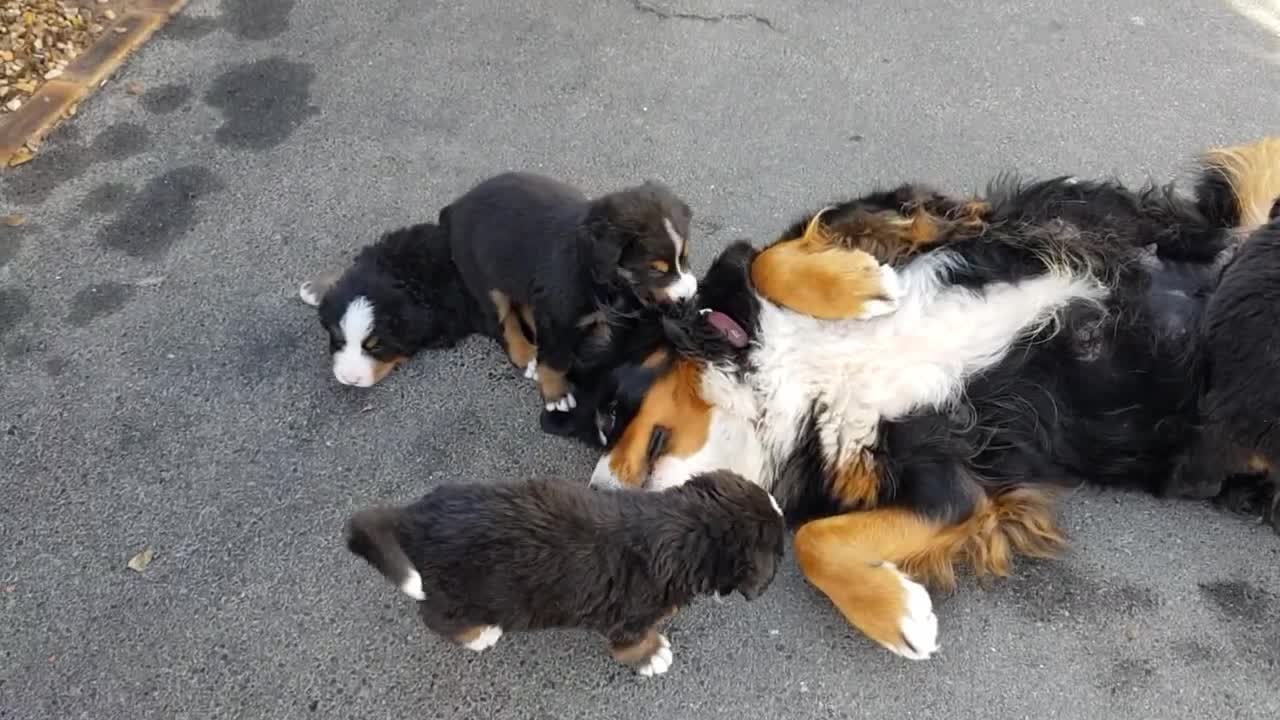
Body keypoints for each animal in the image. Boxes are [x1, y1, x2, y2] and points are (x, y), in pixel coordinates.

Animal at [345, 468, 783, 676]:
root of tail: (410, 518)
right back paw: (478, 635)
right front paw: (653, 655)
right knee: (434, 617)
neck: (686, 528)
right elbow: (631, 646)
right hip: (457, 593)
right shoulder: (628, 619)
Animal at [442, 170, 701, 412]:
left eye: (685, 258)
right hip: (484, 279)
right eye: (655, 270)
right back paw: (526, 356)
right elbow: (555, 359)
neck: (591, 266)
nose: (689, 296)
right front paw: (556, 394)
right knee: (503, 321)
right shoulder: (556, 315)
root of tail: (457, 204)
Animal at [583, 133, 1280, 655]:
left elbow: (770, 260)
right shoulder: (943, 483)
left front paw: (860, 286)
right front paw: (897, 612)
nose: (596, 491)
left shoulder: (910, 212)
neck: (781, 368)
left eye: (608, 417)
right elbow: (817, 540)